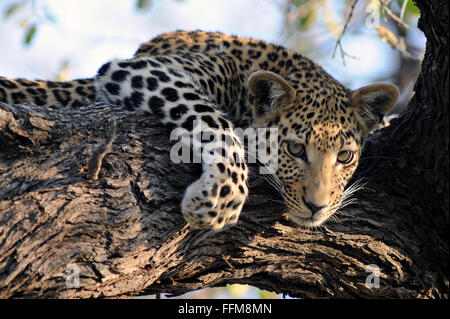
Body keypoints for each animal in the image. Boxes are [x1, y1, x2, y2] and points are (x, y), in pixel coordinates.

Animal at [0, 30, 400, 230]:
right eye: (295, 150)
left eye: (344, 157)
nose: (316, 206)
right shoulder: (142, 69)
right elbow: (216, 124)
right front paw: (218, 198)